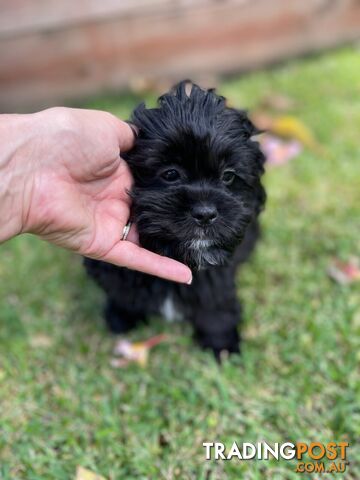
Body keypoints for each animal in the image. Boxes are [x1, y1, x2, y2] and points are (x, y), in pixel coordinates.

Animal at [84, 81, 264, 356]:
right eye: (170, 174)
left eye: (228, 176)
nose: (205, 213)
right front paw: (122, 315)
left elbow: (215, 299)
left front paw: (221, 342)